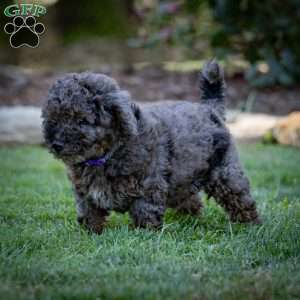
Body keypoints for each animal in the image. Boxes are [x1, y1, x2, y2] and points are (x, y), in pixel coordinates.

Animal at [42, 61, 260, 233]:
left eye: (81, 120)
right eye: (54, 119)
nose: (57, 144)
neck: (104, 156)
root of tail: (209, 109)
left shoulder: (148, 184)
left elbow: (144, 210)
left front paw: (143, 234)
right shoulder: (84, 192)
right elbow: (89, 211)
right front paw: (91, 233)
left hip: (225, 173)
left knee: (240, 198)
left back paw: (249, 224)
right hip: (184, 177)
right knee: (190, 198)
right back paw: (188, 219)